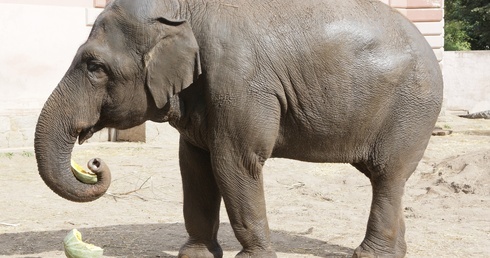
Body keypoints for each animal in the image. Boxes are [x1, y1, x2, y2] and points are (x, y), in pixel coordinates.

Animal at [32, 0, 442, 258]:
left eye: (94, 66)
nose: (93, 163)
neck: (182, 9)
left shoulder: (239, 82)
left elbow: (235, 163)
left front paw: (253, 257)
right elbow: (194, 166)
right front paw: (195, 255)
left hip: (411, 109)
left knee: (387, 176)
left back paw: (370, 255)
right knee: (389, 180)